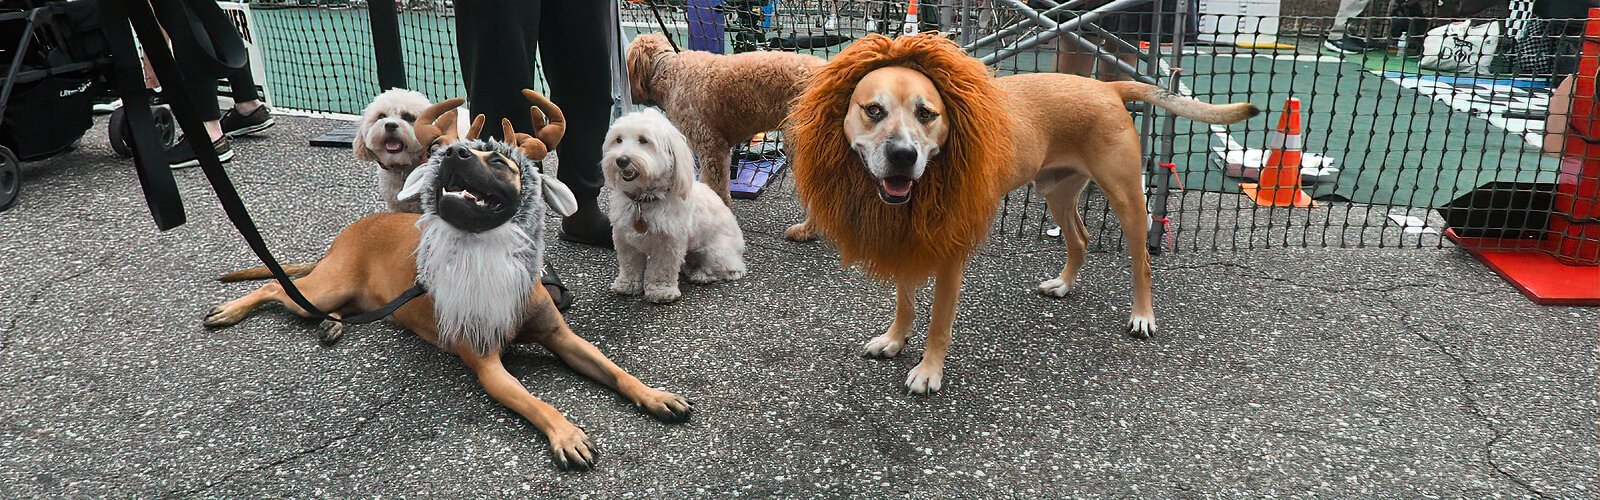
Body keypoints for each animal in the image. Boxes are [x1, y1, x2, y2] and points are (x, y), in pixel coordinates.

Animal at [208, 91, 694, 471]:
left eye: (499, 160)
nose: (455, 156)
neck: (493, 260)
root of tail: (351, 231)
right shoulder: (489, 367)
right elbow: (539, 403)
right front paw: (566, 433)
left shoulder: (566, 340)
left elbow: (617, 372)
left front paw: (654, 395)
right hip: (324, 286)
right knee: (276, 287)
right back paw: (232, 310)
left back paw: (332, 324)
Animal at [601, 110, 745, 304]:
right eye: (618, 140)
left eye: (643, 140)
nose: (621, 160)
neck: (644, 199)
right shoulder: (624, 240)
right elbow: (629, 265)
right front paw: (627, 284)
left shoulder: (668, 244)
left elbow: (661, 269)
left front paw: (661, 291)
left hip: (715, 251)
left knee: (728, 269)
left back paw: (702, 275)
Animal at [787, 35, 1260, 394]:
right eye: (873, 110)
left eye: (927, 113)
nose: (903, 156)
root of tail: (1107, 89)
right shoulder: (908, 236)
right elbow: (905, 301)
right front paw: (894, 339)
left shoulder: (949, 254)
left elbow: (939, 320)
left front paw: (929, 369)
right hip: (1057, 191)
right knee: (1080, 239)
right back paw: (1064, 285)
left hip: (1127, 199)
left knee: (1141, 260)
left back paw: (1143, 315)